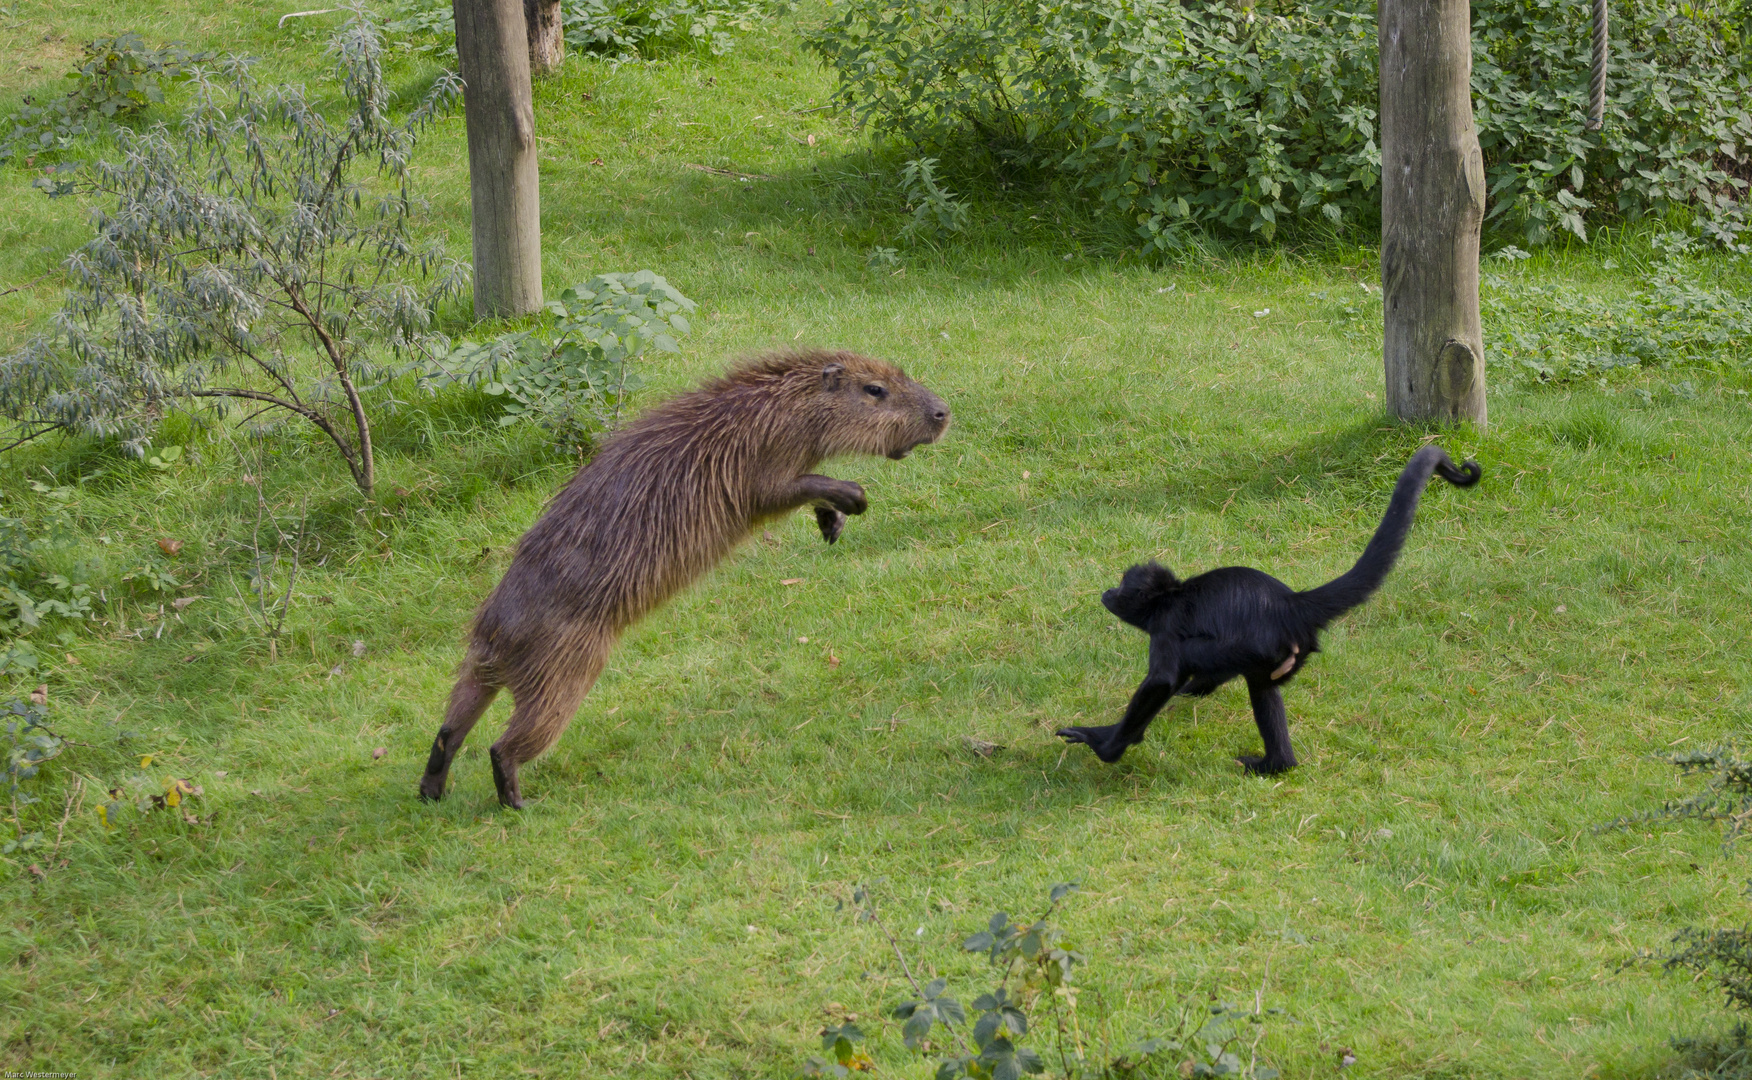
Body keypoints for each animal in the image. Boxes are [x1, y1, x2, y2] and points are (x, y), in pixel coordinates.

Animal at [1051, 447, 1478, 774]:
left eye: (1123, 586)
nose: (1109, 591)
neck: (1172, 596)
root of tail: (1291, 603)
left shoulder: (1167, 628)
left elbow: (1162, 680)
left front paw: (1108, 746)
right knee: (1263, 685)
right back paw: (1279, 763)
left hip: (1257, 646)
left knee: (1217, 665)